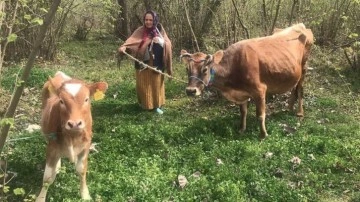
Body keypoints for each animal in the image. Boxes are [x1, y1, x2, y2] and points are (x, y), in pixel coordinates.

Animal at [36, 71, 108, 202]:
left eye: (86, 99)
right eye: (61, 101)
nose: (74, 123)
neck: (72, 137)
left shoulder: (85, 146)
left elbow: (82, 170)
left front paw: (85, 195)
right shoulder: (52, 147)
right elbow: (47, 177)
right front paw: (40, 198)